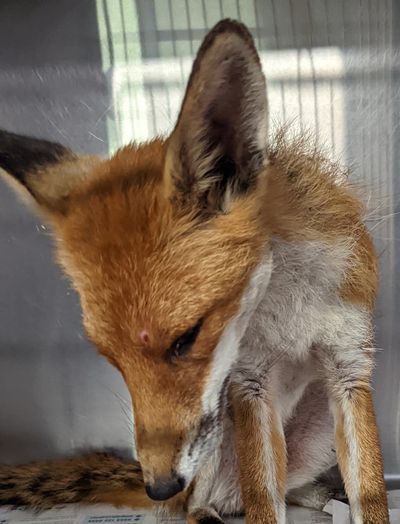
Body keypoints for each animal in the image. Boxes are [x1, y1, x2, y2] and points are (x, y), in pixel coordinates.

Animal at [0, 18, 388, 524]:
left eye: (187, 338)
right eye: (111, 359)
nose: (159, 485)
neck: (288, 308)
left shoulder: (349, 365)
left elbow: (370, 493)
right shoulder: (249, 383)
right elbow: (264, 499)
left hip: (315, 429)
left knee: (272, 489)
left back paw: (316, 497)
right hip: (218, 439)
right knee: (204, 504)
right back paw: (202, 512)